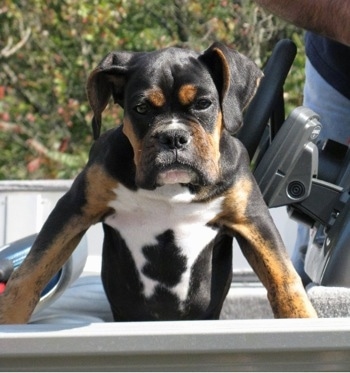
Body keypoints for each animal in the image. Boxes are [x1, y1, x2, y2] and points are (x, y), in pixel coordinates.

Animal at [0, 41, 318, 322]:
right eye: (141, 108)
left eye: (203, 104)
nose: (173, 136)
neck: (171, 191)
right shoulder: (74, 209)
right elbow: (31, 271)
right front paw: (11, 319)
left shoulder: (252, 219)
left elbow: (283, 276)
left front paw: (301, 318)